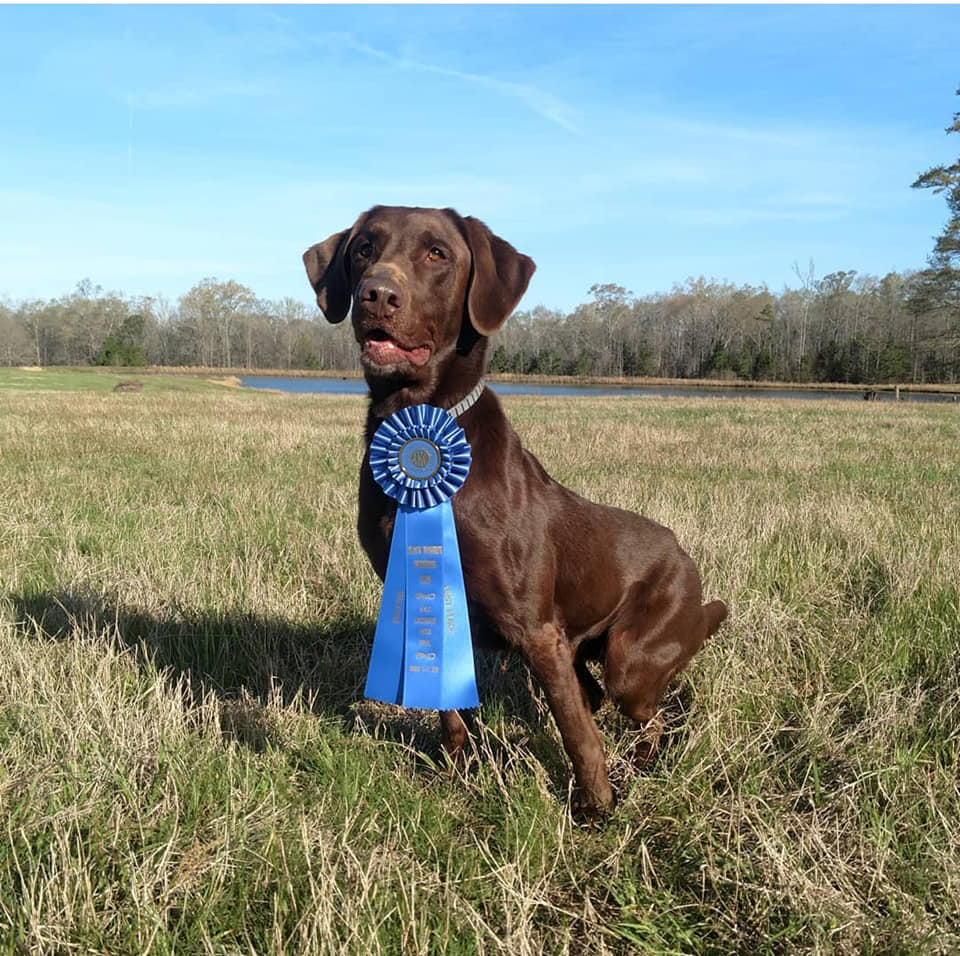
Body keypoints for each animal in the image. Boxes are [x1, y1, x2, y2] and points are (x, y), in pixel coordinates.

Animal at [304, 205, 724, 812]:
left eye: (437, 253)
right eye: (363, 248)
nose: (376, 294)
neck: (419, 424)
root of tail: (685, 555)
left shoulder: (537, 630)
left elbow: (578, 736)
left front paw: (597, 810)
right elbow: (451, 712)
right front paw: (457, 770)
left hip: (633, 657)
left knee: (651, 709)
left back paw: (646, 765)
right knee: (605, 699)